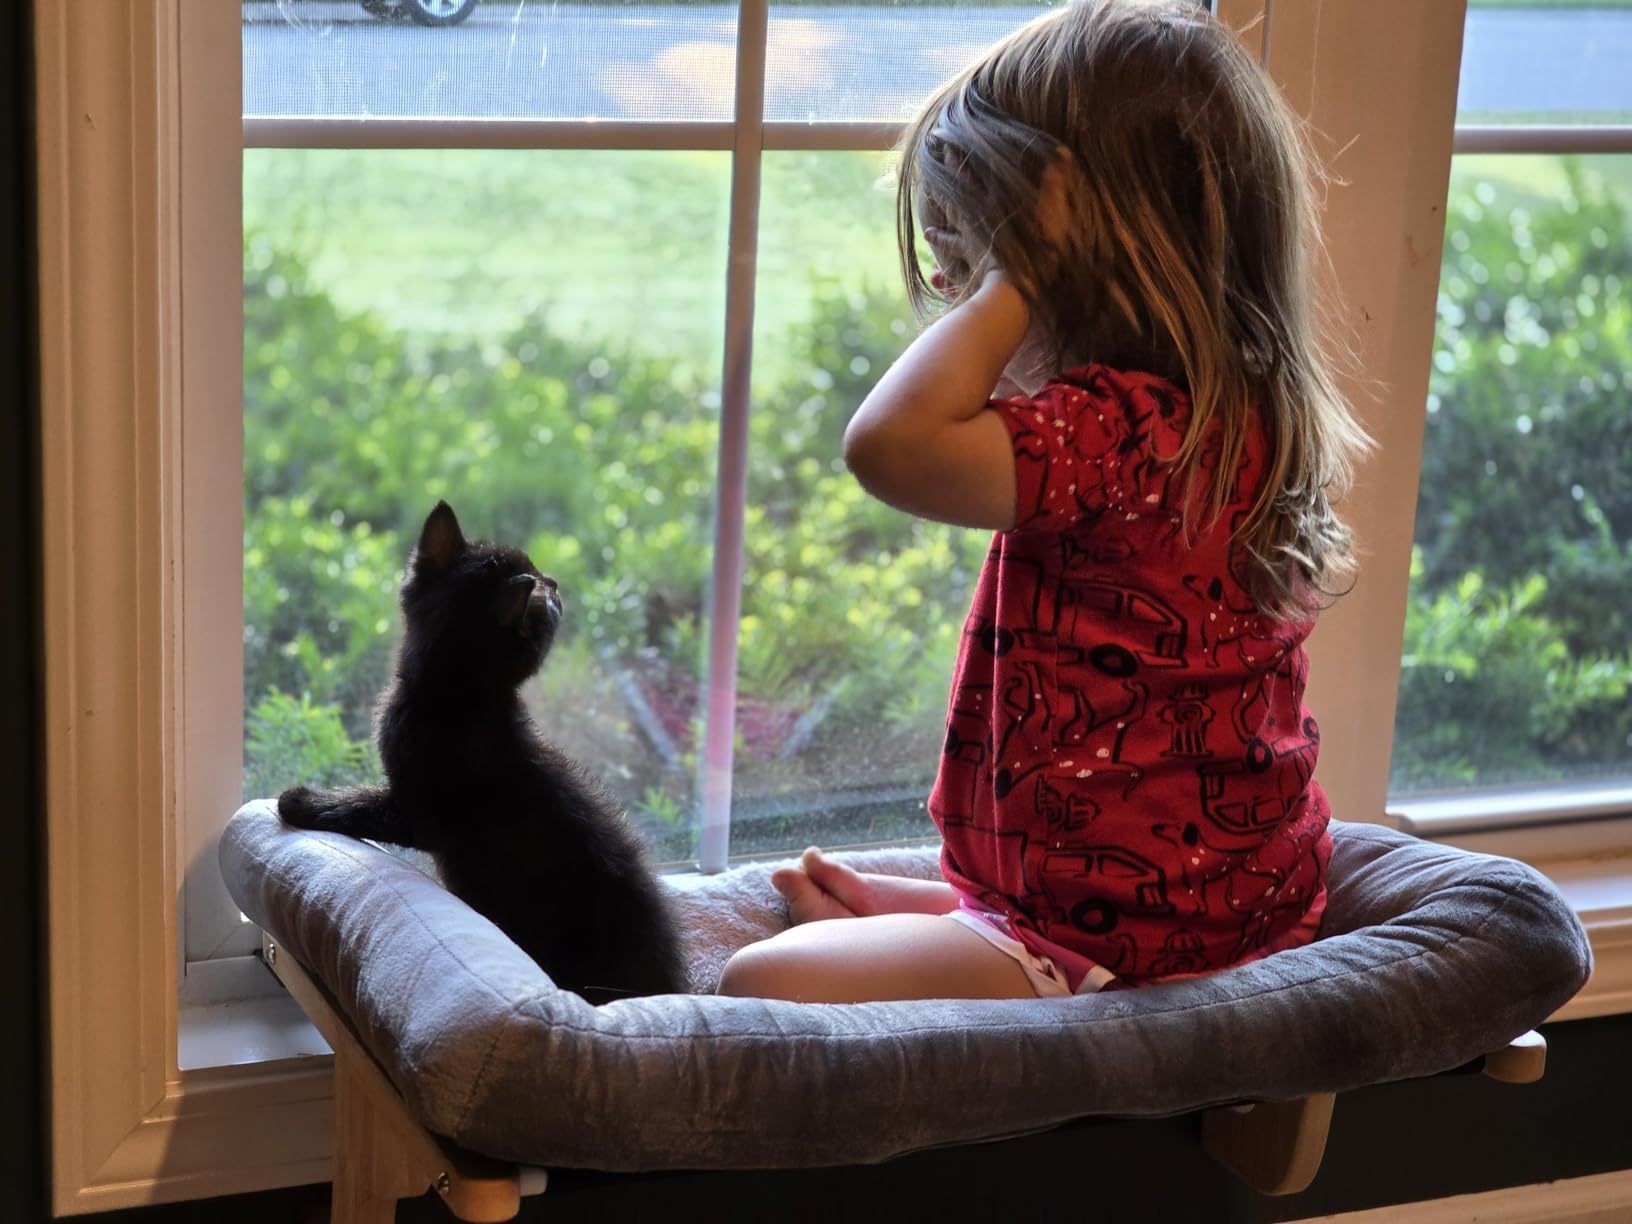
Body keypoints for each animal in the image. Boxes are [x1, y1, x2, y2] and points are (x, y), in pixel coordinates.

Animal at [278, 500, 688, 1004]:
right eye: (544, 592)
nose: (553, 581)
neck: (454, 697)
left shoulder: (420, 811)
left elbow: (361, 807)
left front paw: (303, 801)